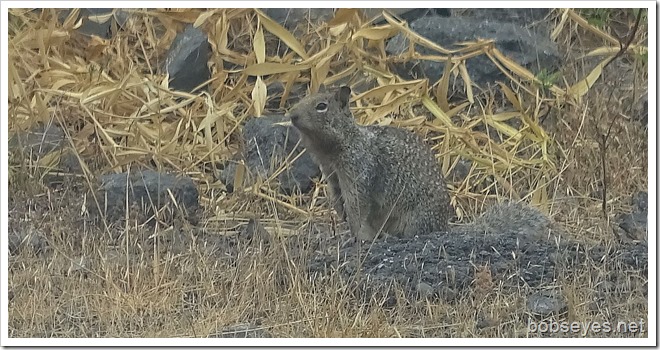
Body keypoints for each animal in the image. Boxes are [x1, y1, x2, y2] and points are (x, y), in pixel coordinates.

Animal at [286, 85, 452, 241]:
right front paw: (342, 216)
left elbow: (356, 206)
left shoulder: (357, 172)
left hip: (416, 219)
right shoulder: (331, 175)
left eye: (321, 106)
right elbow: (338, 198)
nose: (292, 115)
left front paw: (356, 236)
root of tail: (444, 224)